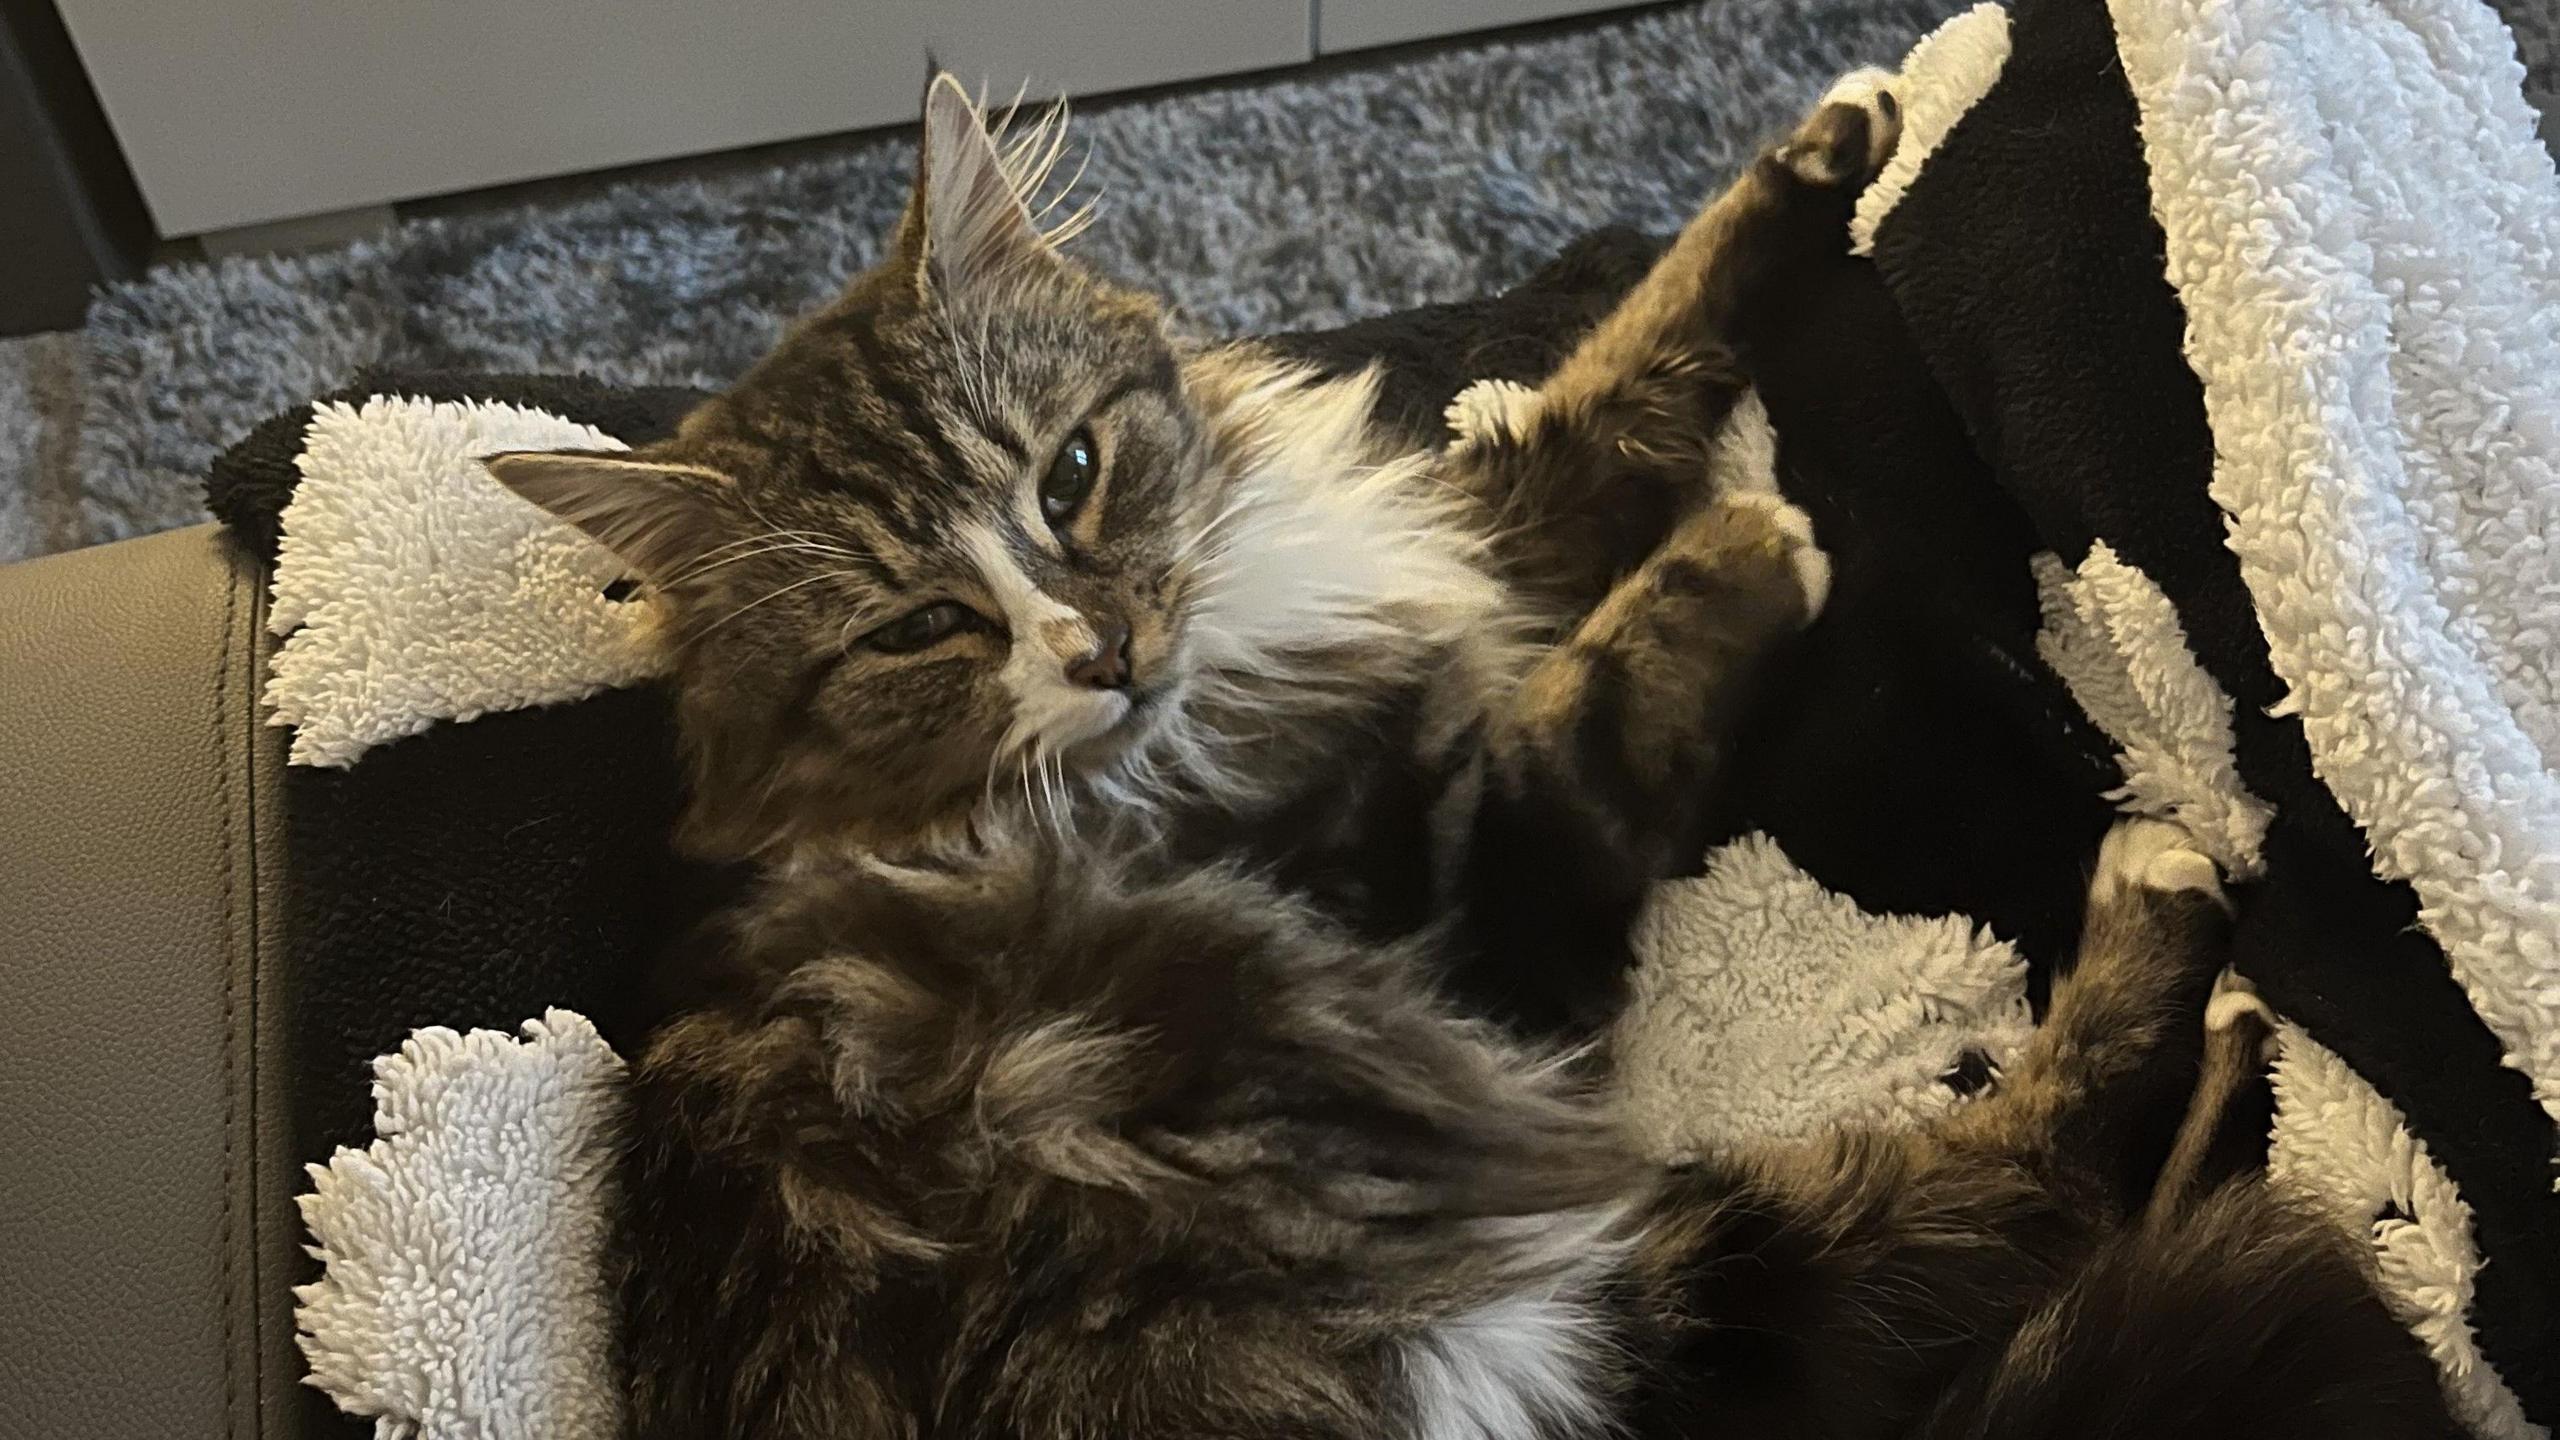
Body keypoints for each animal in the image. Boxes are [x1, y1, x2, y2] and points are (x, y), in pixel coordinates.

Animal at [488, 73, 1884, 1030]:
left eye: (1070, 476)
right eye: (916, 630)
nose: (1098, 652)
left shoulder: (1479, 535)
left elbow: (1636, 356)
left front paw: (1840, 138)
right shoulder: (1471, 944)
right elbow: (1577, 734)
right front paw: (1756, 540)